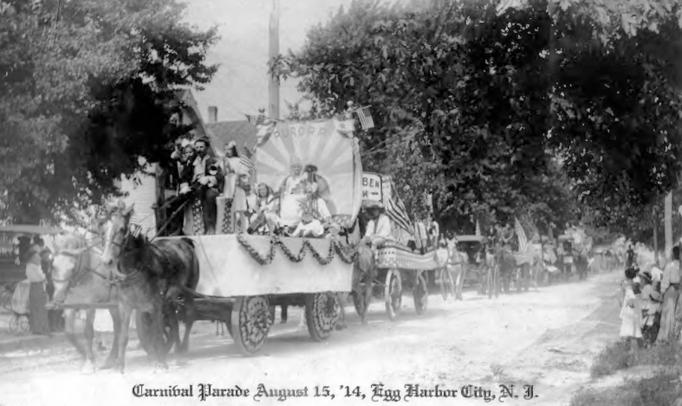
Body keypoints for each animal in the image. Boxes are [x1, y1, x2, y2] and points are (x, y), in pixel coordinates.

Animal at [48, 233, 121, 372]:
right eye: (53, 265)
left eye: (72, 268)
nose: (58, 298)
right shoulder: (70, 306)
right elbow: (69, 333)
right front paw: (88, 355)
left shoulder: (90, 307)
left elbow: (88, 332)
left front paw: (89, 362)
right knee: (118, 328)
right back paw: (111, 360)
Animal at [101, 205, 199, 372]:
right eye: (104, 228)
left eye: (122, 229)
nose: (107, 260)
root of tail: (184, 241)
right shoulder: (125, 305)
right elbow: (124, 336)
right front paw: (120, 365)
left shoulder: (156, 304)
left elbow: (156, 334)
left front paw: (160, 361)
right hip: (170, 300)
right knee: (174, 323)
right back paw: (176, 350)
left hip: (188, 291)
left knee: (189, 317)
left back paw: (182, 350)